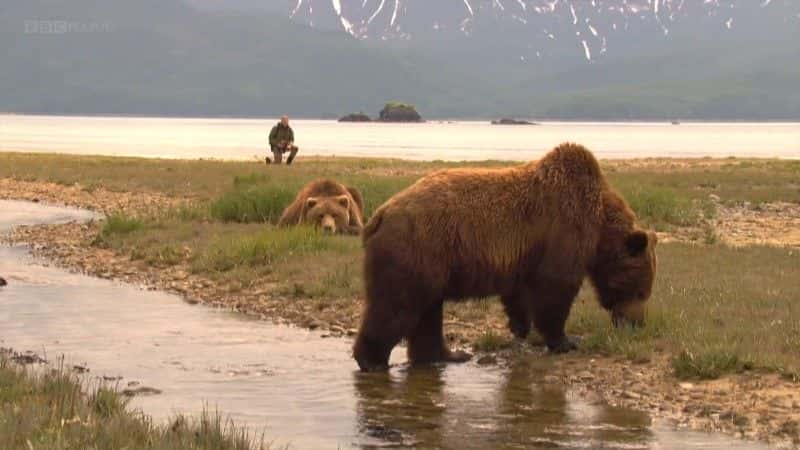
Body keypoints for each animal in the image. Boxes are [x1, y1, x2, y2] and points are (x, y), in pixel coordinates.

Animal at [354, 142, 660, 370]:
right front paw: (565, 341)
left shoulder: (523, 254)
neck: (599, 225)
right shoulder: (565, 231)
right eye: (642, 291)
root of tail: (379, 215)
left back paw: (446, 355)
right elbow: (556, 289)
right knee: (397, 306)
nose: (637, 323)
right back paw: (372, 360)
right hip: (417, 250)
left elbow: (518, 293)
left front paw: (521, 327)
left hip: (429, 263)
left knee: (427, 311)